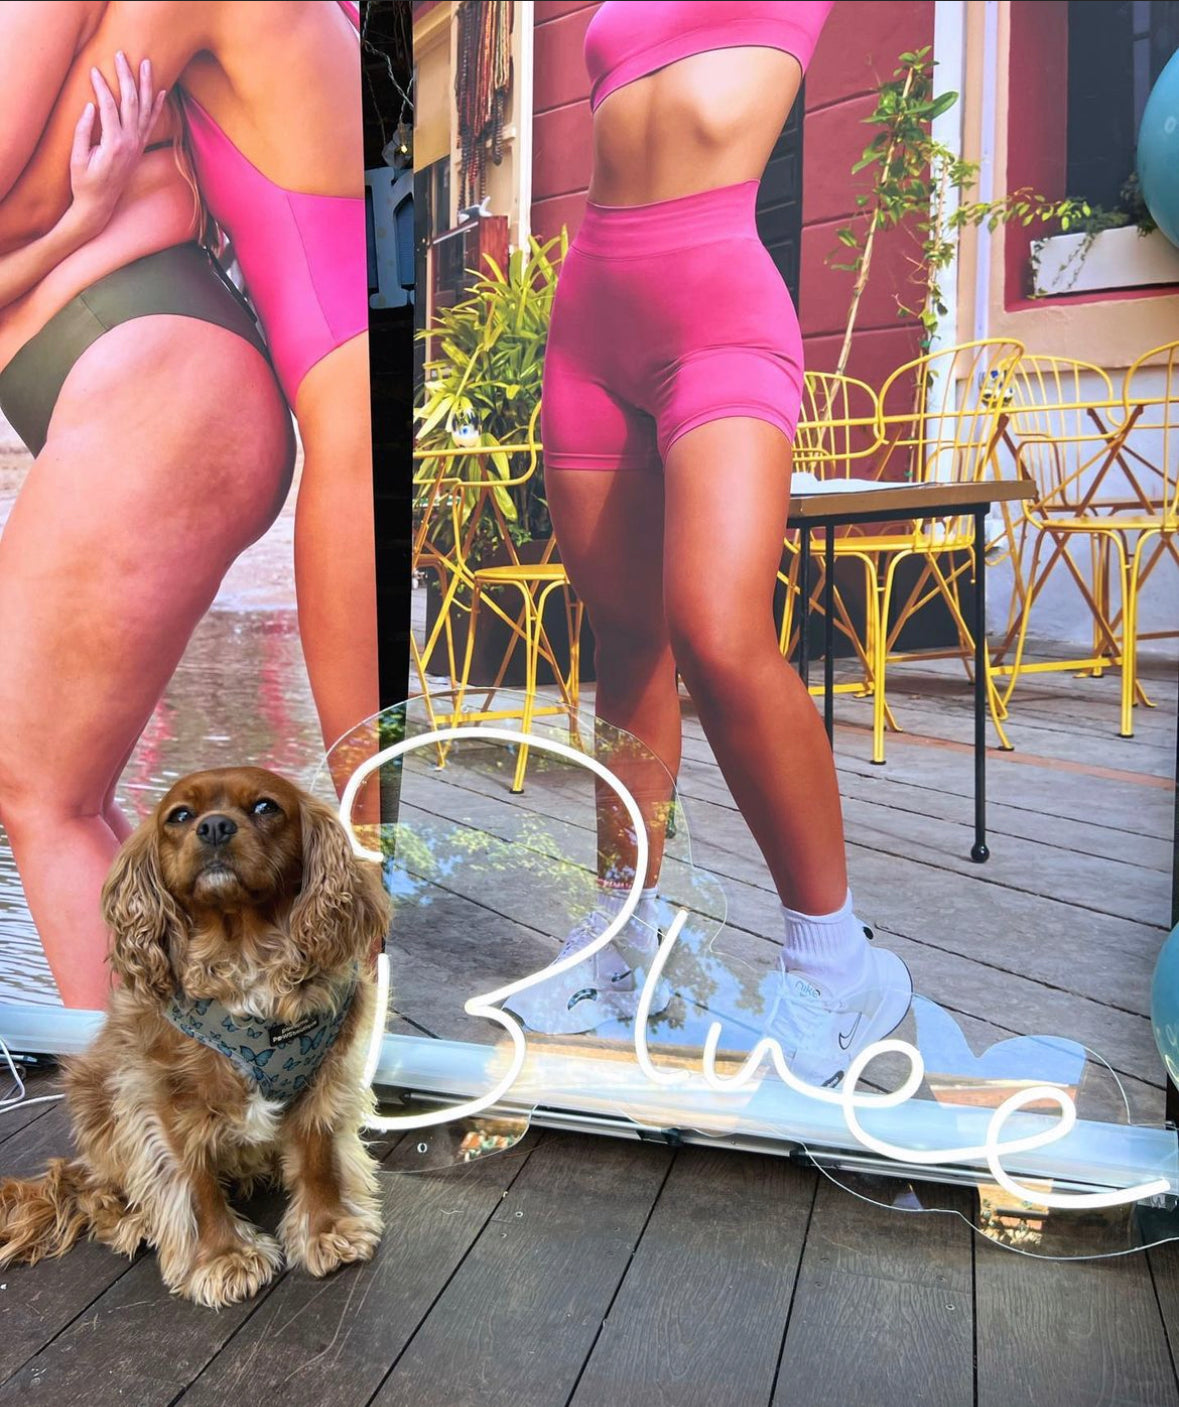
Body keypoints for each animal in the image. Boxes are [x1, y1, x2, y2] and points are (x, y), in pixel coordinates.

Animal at [0, 766, 392, 1309]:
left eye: (266, 807)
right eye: (180, 816)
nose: (215, 827)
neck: (244, 955)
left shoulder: (322, 1079)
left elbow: (317, 1160)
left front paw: (327, 1230)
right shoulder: (166, 1103)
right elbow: (196, 1185)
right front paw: (223, 1258)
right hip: (95, 1093)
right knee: (97, 1185)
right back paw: (132, 1218)